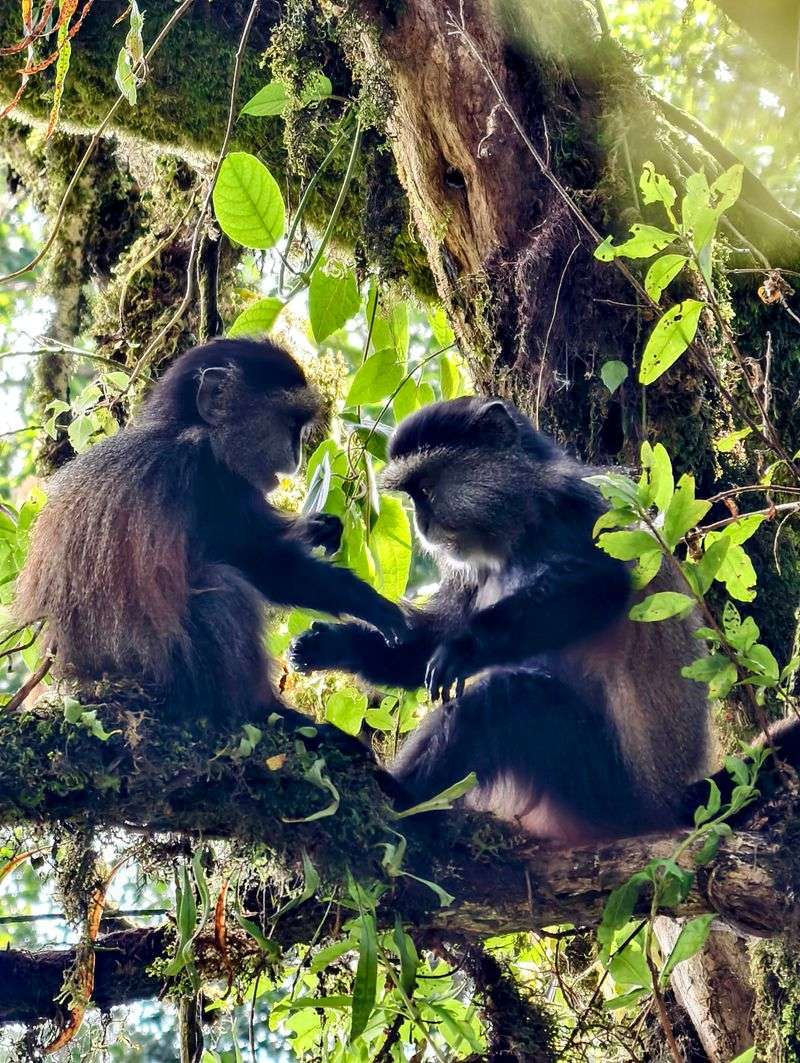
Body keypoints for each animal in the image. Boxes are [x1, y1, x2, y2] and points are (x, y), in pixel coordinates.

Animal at [14, 338, 407, 730]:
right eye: (289, 424)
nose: (296, 455)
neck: (177, 428)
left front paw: (319, 528)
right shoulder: (208, 469)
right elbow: (260, 560)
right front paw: (368, 602)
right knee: (220, 589)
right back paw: (267, 712)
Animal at [289, 396, 713, 843]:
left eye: (426, 489)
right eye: (412, 495)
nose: (422, 525)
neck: (516, 530)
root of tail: (663, 805)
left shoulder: (576, 507)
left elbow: (603, 584)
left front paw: (465, 647)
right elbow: (426, 644)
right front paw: (333, 644)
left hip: (607, 792)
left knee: (507, 698)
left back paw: (401, 796)